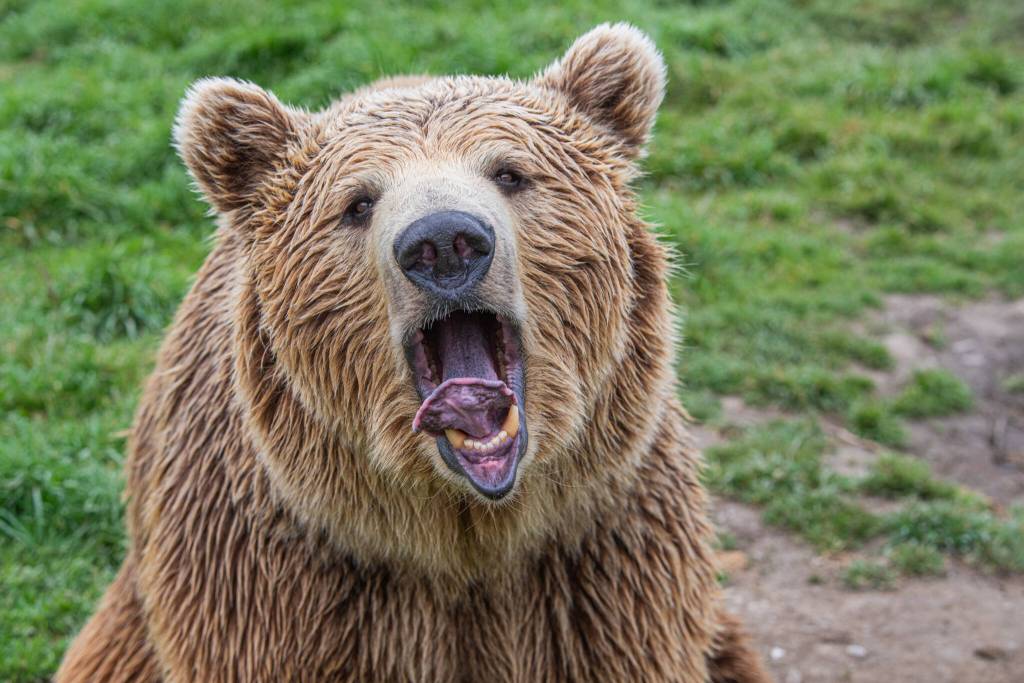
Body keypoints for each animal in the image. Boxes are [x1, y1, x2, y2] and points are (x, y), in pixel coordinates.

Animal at [57, 24, 770, 683]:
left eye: (510, 172)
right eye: (357, 203)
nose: (445, 241)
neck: (461, 529)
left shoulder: (600, 560)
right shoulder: (278, 579)